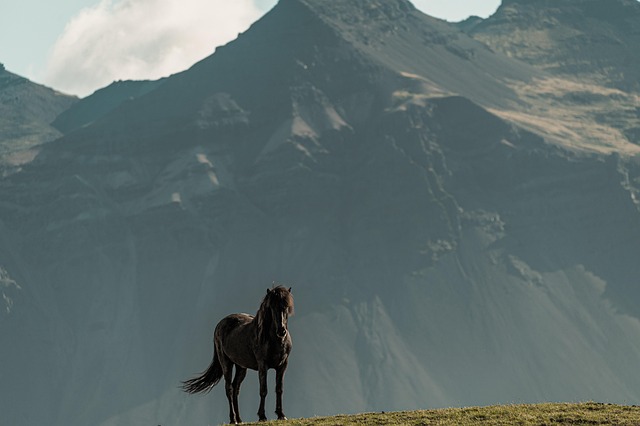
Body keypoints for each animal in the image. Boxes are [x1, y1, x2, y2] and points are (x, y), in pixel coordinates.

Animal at [182, 285, 294, 424]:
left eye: (286, 306)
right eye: (271, 307)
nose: (281, 330)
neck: (274, 340)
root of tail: (219, 325)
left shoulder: (282, 366)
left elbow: (279, 389)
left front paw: (281, 415)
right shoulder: (263, 366)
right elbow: (263, 390)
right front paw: (262, 416)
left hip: (241, 367)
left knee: (236, 388)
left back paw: (240, 419)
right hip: (226, 363)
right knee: (229, 389)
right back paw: (233, 419)